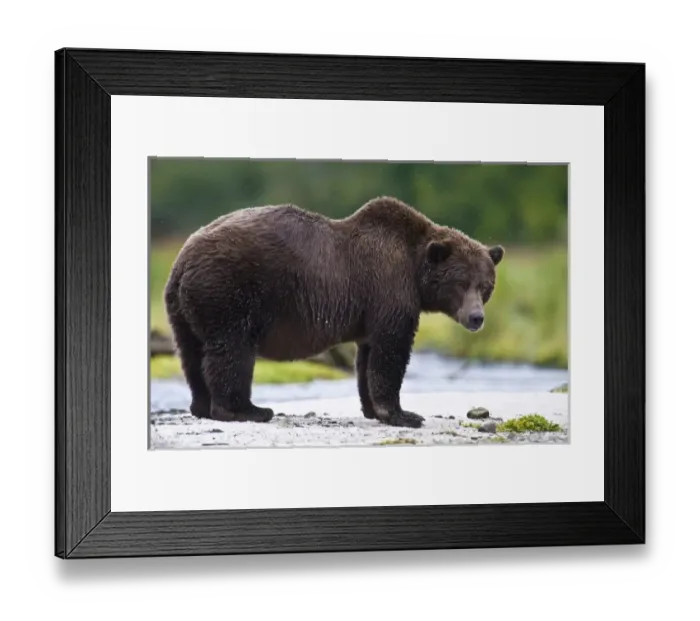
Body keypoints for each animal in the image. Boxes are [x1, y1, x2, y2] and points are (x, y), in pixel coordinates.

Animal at [163, 196, 504, 429]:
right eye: (461, 282)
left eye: (485, 285)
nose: (476, 318)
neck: (414, 268)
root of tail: (182, 261)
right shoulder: (388, 287)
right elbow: (391, 351)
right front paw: (403, 414)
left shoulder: (371, 311)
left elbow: (368, 358)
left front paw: (372, 408)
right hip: (229, 291)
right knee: (232, 351)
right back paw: (247, 410)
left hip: (182, 308)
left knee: (191, 353)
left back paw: (202, 406)